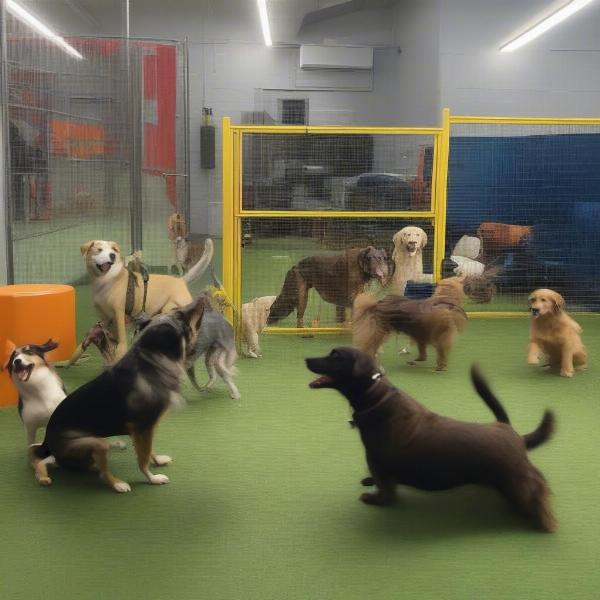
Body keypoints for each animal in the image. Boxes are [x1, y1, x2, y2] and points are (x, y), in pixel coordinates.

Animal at [308, 346, 556, 536]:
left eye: (335, 356)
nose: (307, 359)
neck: (376, 396)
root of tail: (513, 434)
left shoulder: (378, 461)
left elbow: (385, 491)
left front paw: (374, 498)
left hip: (516, 481)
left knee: (536, 493)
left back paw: (543, 519)